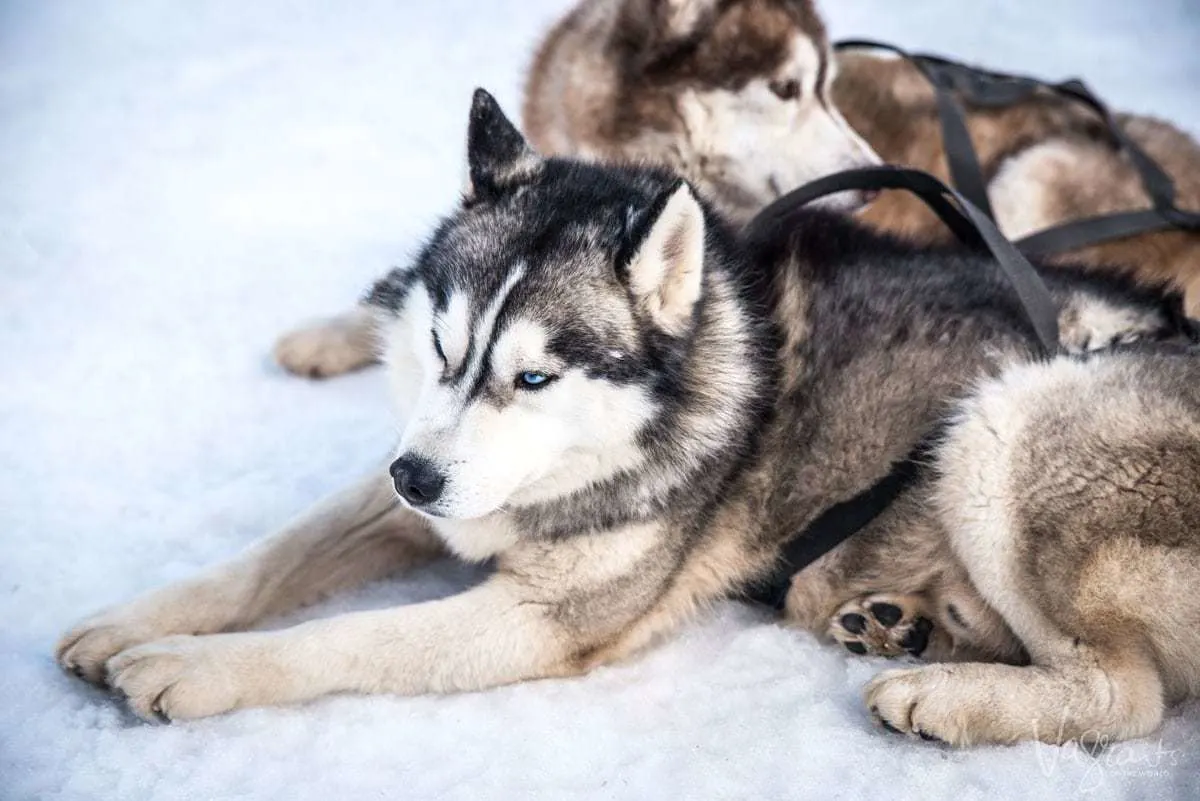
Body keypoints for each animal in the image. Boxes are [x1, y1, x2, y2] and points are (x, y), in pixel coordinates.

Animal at [58, 92, 1200, 743]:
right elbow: (273, 557)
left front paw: (192, 667)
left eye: (535, 378)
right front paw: (136, 619)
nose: (417, 480)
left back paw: (945, 697)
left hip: (1009, 419)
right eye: (442, 345)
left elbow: (351, 637)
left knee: (1130, 695)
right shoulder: (424, 487)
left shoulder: (540, 615)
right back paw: (905, 623)